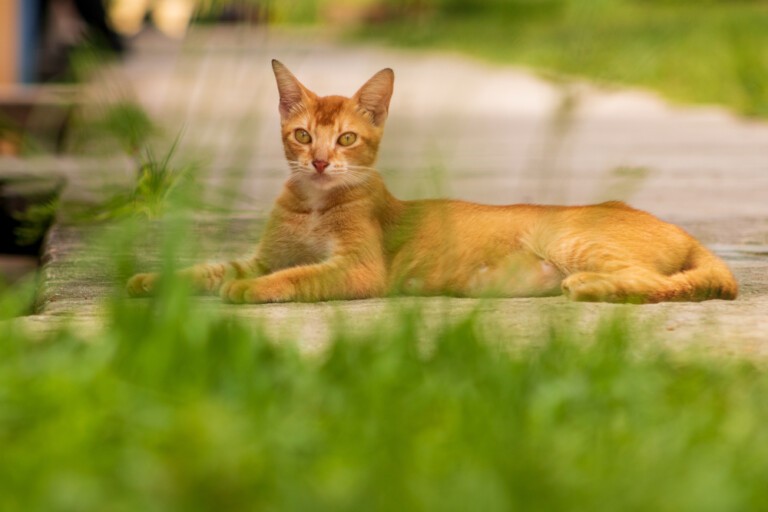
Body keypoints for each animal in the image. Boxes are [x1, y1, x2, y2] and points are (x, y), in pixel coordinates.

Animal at [127, 62, 736, 306]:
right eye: (302, 136)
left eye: (345, 139)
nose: (320, 162)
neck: (313, 203)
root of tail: (678, 228)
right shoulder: (261, 255)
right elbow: (209, 268)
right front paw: (148, 280)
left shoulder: (360, 269)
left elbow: (295, 276)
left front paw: (248, 292)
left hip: (571, 239)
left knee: (655, 283)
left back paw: (589, 287)